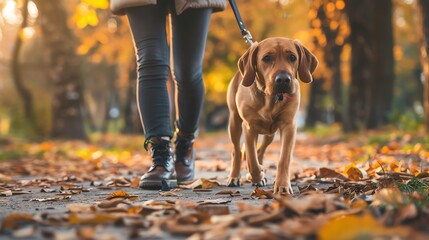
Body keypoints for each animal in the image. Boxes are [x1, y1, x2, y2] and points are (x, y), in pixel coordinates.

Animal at [226, 38, 316, 195]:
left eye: (292, 57)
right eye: (266, 58)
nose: (283, 80)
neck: (270, 98)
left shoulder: (289, 126)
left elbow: (284, 159)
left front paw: (282, 185)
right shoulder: (248, 126)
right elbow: (251, 158)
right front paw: (257, 175)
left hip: (270, 134)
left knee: (260, 150)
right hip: (234, 123)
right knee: (236, 151)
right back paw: (235, 177)